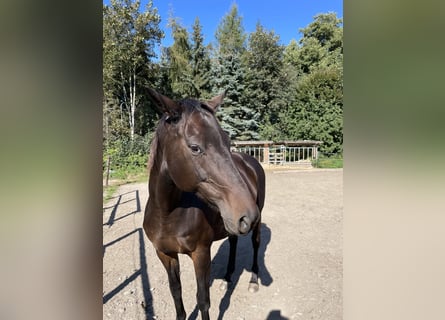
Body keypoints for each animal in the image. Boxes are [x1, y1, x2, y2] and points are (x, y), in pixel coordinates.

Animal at [144, 89, 266, 318]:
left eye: (227, 142)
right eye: (194, 147)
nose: (248, 214)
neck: (167, 214)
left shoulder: (200, 254)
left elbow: (203, 300)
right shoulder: (165, 254)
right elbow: (176, 293)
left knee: (256, 244)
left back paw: (254, 281)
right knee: (234, 241)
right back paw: (227, 278)